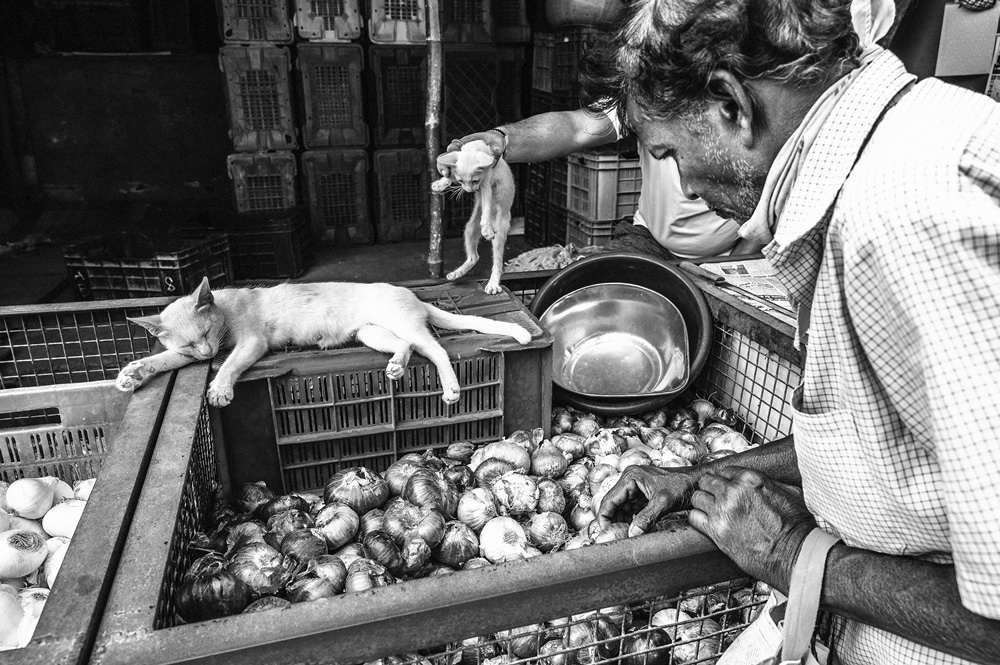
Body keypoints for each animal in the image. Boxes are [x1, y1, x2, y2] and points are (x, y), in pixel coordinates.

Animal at [116, 274, 532, 404]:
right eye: (189, 345)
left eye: (204, 333)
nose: (204, 352)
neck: (225, 309)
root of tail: (414, 296)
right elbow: (160, 360)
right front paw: (131, 373)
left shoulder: (251, 343)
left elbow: (230, 364)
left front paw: (219, 389)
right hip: (371, 333)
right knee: (407, 348)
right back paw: (396, 368)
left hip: (403, 325)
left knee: (436, 349)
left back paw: (450, 388)